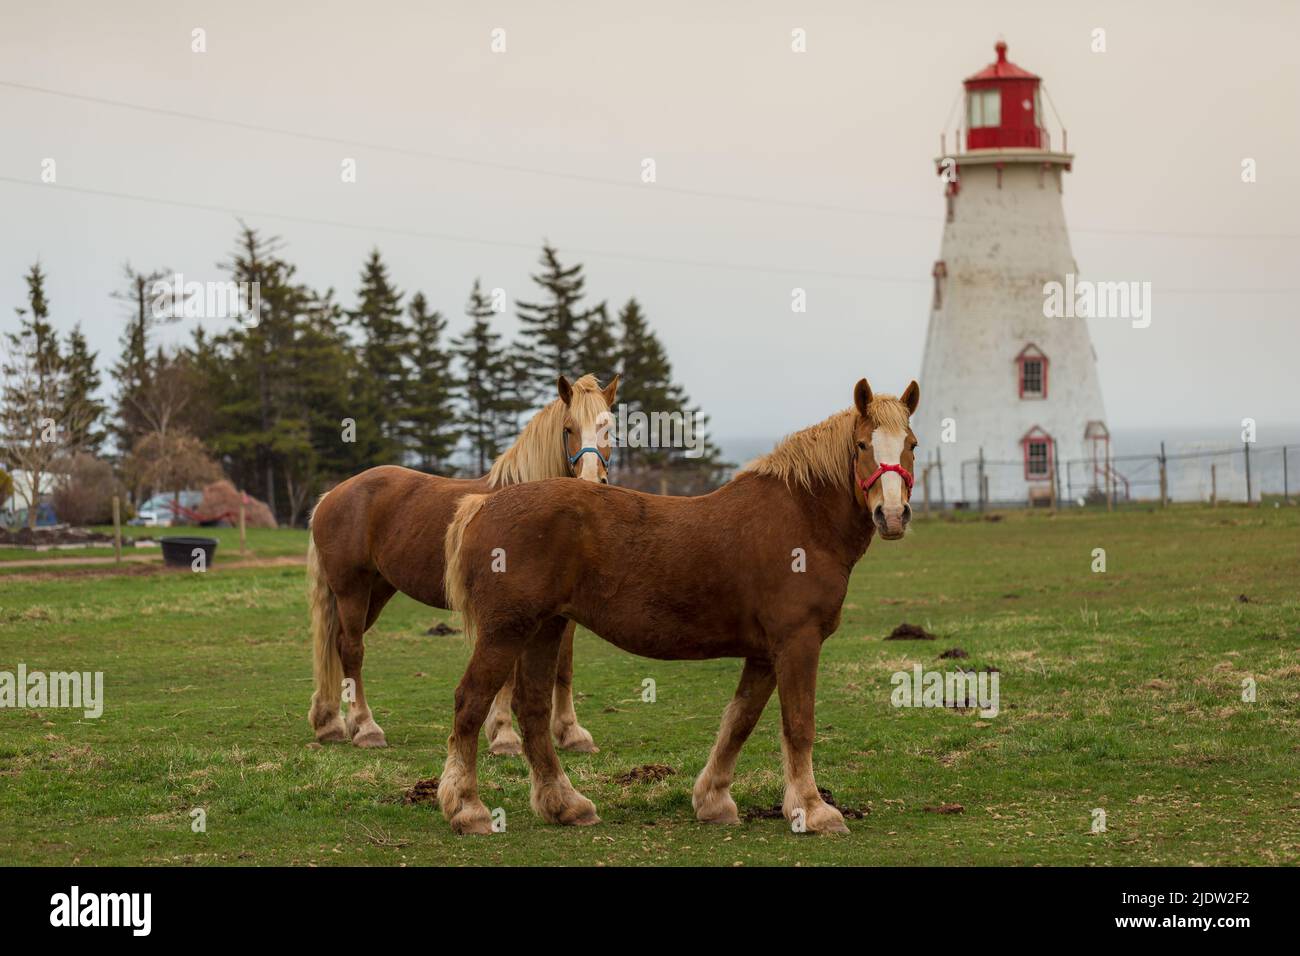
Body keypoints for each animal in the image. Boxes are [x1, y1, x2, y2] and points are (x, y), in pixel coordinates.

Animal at [306, 373, 619, 752]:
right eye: (568, 428)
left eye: (608, 428)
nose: (591, 482)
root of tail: (331, 496)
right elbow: (507, 675)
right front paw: (503, 734)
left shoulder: (562, 611)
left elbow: (564, 666)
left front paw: (571, 732)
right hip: (352, 589)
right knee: (351, 649)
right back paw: (365, 728)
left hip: (375, 591)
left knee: (335, 644)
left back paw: (330, 723)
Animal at [438, 377, 920, 835]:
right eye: (863, 445)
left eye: (911, 445)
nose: (892, 515)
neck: (803, 518)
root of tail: (483, 504)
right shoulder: (797, 642)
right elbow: (798, 725)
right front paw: (814, 810)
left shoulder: (766, 653)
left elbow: (739, 721)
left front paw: (713, 800)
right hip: (506, 631)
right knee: (471, 702)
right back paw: (468, 808)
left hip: (546, 627)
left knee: (533, 708)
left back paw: (565, 805)